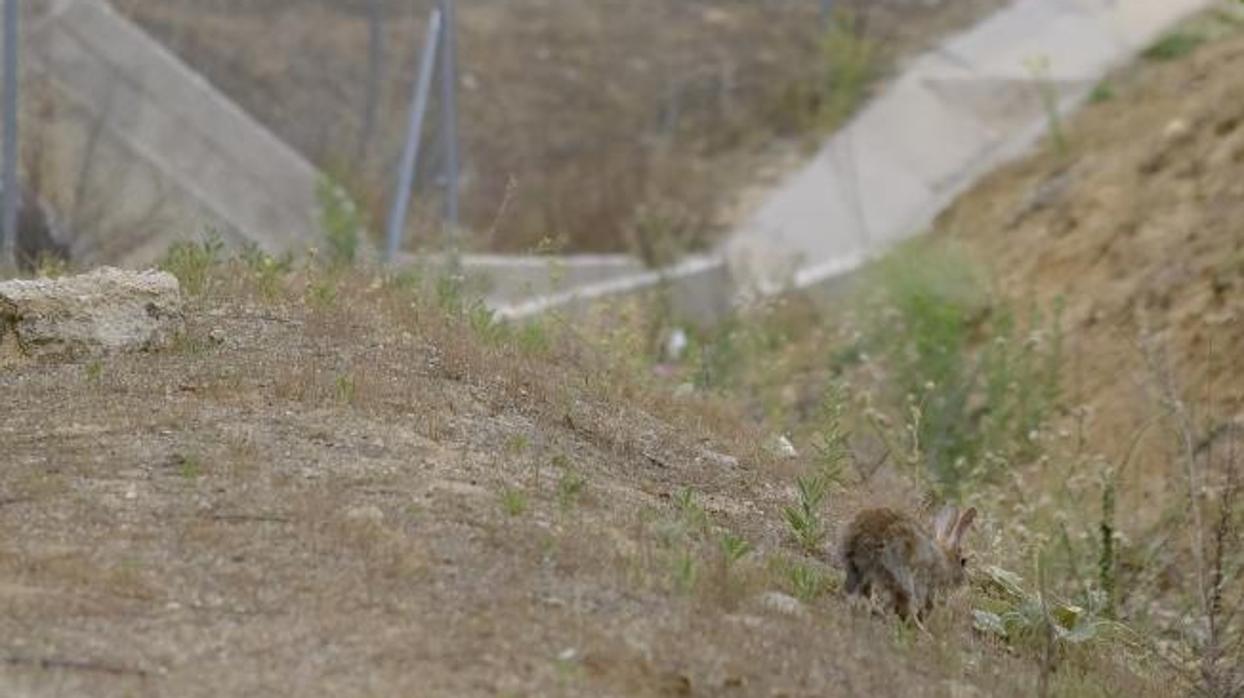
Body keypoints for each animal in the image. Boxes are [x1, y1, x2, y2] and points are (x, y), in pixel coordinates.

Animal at [840, 502, 975, 622]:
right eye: (963, 561)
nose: (965, 582)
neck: (943, 558)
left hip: (858, 571)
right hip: (900, 573)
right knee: (904, 607)